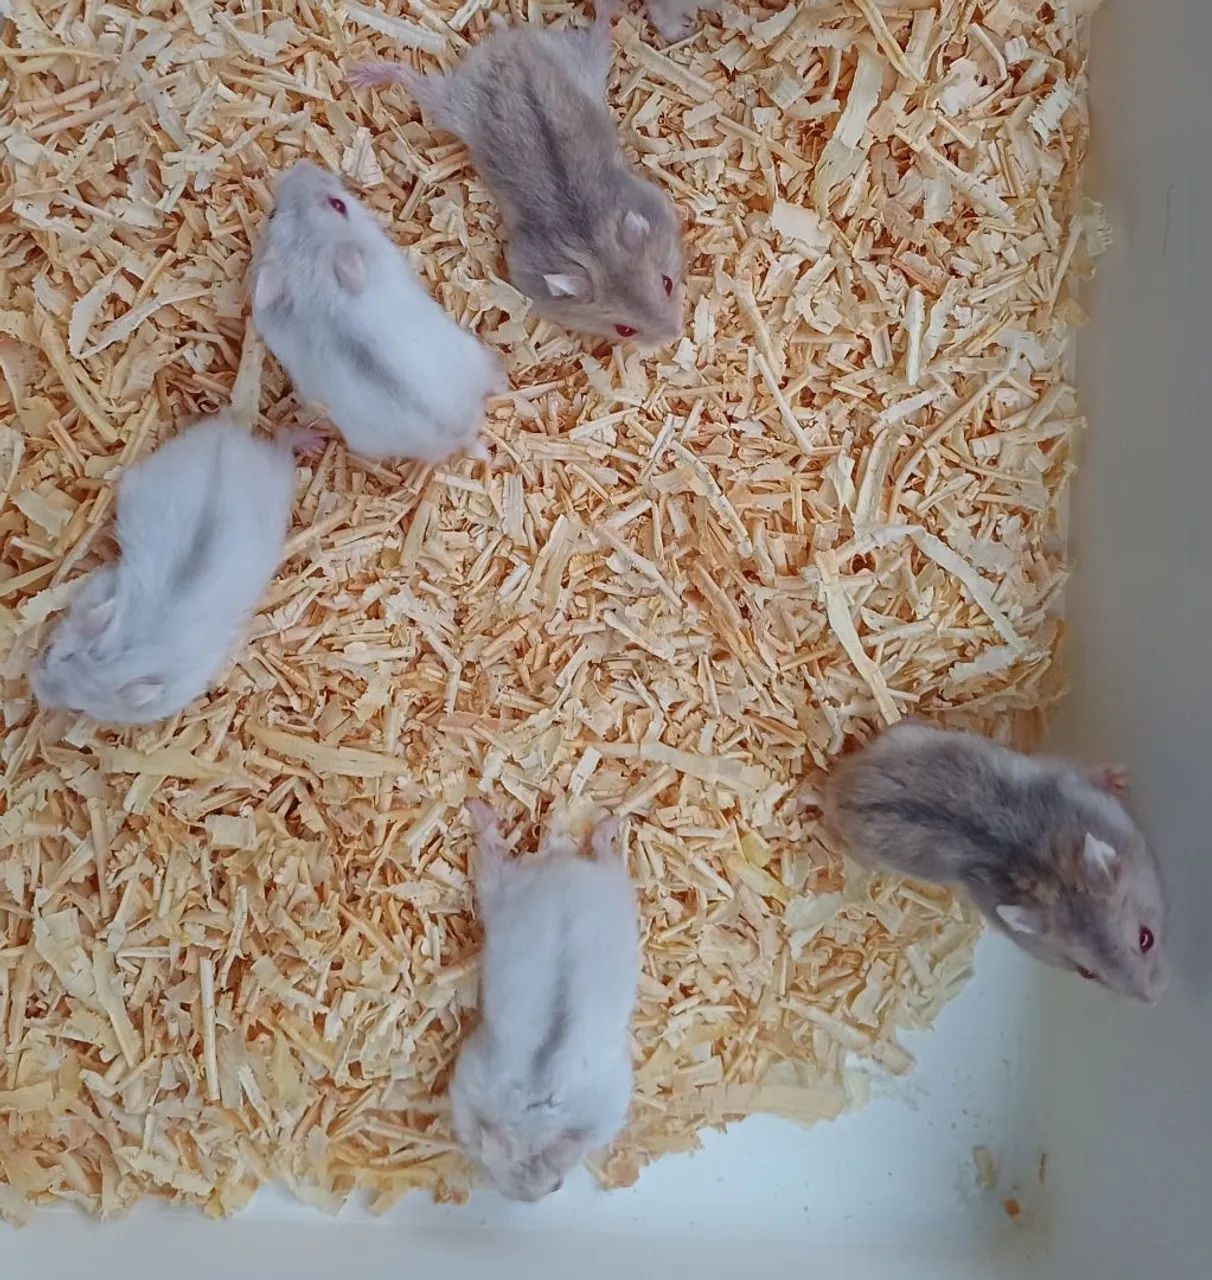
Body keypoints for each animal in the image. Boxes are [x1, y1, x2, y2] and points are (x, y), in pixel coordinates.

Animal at [31, 414, 303, 725]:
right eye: (48, 651)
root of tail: (229, 439)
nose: (32, 684)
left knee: (283, 442)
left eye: (78, 708)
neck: (126, 651)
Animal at [348, 2, 685, 348]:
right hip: (456, 106)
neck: (593, 244)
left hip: (580, 60)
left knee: (599, 30)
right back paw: (363, 75)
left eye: (668, 283)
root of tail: (508, 46)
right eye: (625, 329)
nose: (676, 335)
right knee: (416, 82)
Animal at [824, 722, 1168, 1003]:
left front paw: (1121, 777)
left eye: (1146, 938)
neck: (1049, 875)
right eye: (1087, 973)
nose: (1153, 1000)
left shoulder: (1067, 777)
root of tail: (840, 791)